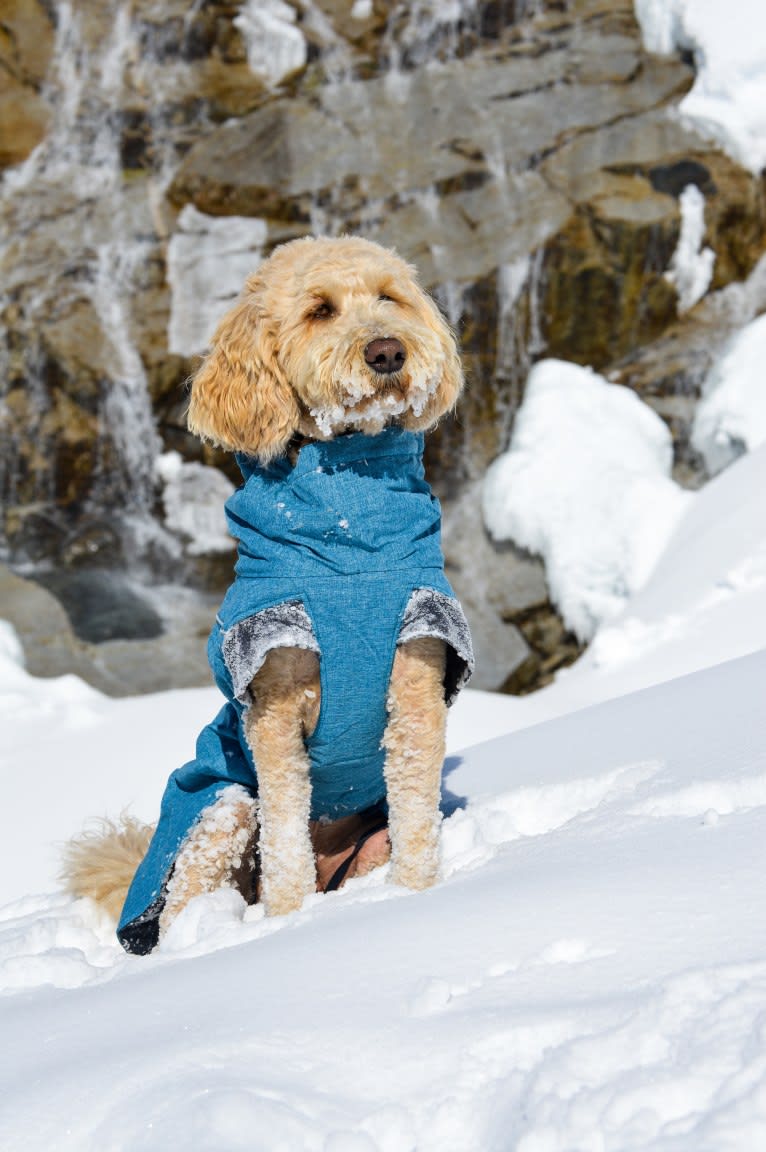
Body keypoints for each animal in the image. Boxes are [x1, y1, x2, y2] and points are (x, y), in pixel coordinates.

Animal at [62, 233, 472, 953]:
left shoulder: (418, 671)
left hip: (365, 840)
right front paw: (288, 923)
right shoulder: (273, 704)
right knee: (187, 899)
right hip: (221, 805)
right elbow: (284, 837)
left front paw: (417, 898)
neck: (348, 541)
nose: (387, 351)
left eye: (388, 296)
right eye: (319, 310)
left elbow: (418, 812)